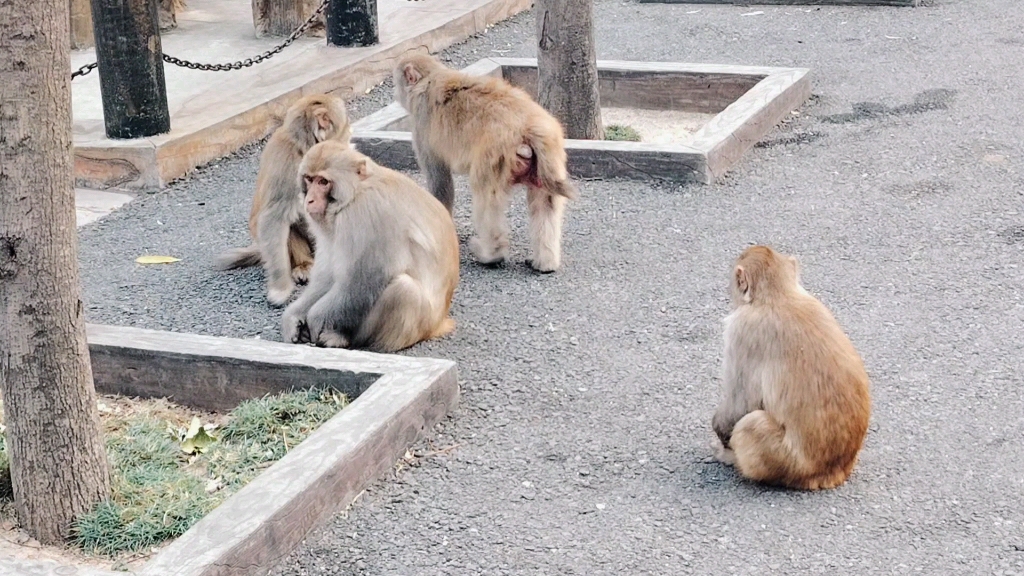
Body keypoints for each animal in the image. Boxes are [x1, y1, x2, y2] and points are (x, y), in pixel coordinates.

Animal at [212, 93, 352, 305]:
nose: (351, 130)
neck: (306, 148)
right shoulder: (287, 164)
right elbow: (274, 218)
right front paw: (280, 288)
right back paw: (304, 265)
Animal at [278, 141, 458, 352]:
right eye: (309, 179)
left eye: (323, 182)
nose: (310, 200)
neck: (356, 191)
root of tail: (439, 323)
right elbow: (330, 274)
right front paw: (293, 317)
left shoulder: (369, 213)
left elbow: (366, 277)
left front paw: (316, 318)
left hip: (418, 326)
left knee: (403, 291)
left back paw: (342, 338)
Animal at [391, 52, 581, 272]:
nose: (395, 92)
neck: (430, 79)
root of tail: (529, 125)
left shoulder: (421, 126)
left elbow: (440, 181)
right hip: (549, 158)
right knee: (545, 202)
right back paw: (545, 262)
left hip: (495, 155)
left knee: (487, 199)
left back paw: (491, 255)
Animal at [712, 242, 872, 487]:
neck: (780, 296)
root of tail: (832, 472)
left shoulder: (741, 331)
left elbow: (739, 406)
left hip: (785, 460)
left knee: (751, 424)